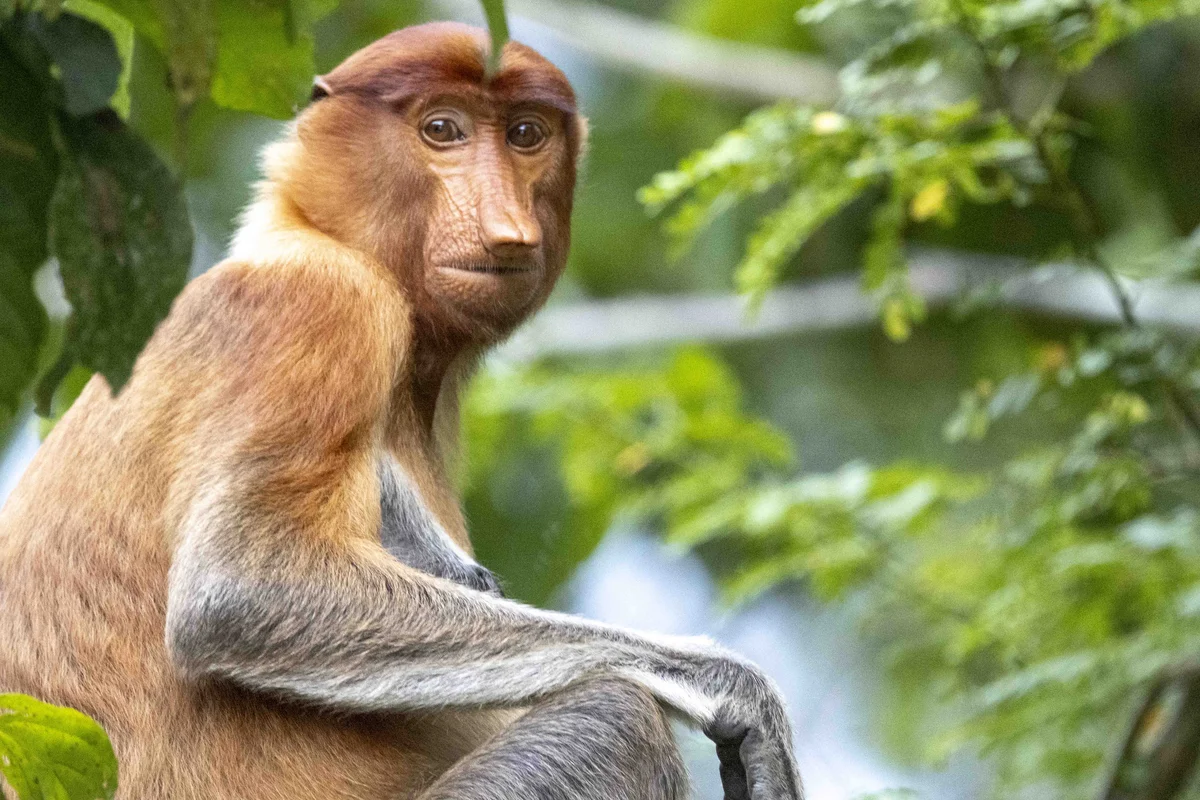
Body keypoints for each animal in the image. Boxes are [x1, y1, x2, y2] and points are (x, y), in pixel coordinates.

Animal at [0, 22, 801, 800]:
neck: (305, 233)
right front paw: (732, 689)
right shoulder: (328, 305)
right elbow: (238, 591)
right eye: (442, 130)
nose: (508, 225)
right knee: (617, 718)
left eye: (526, 134)